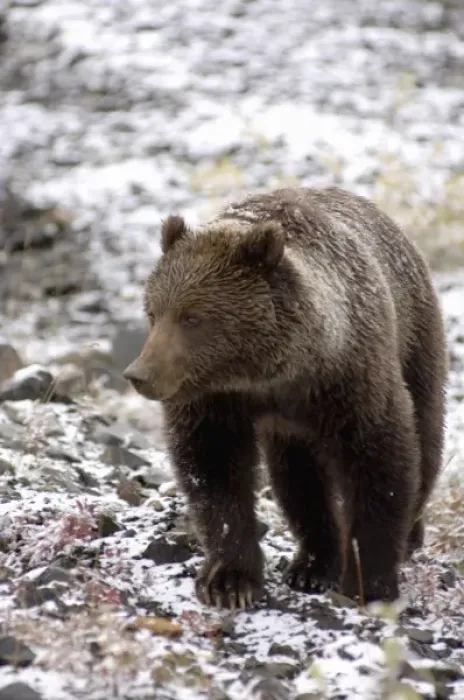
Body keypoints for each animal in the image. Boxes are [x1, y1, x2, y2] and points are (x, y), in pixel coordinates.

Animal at [123, 186, 447, 609]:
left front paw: (370, 583)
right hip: (292, 432)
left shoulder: (350, 381)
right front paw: (229, 581)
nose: (139, 375)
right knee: (299, 481)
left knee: (425, 438)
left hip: (416, 338)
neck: (273, 375)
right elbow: (214, 470)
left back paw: (408, 537)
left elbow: (380, 462)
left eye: (192, 318)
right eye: (152, 312)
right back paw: (312, 565)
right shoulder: (215, 400)